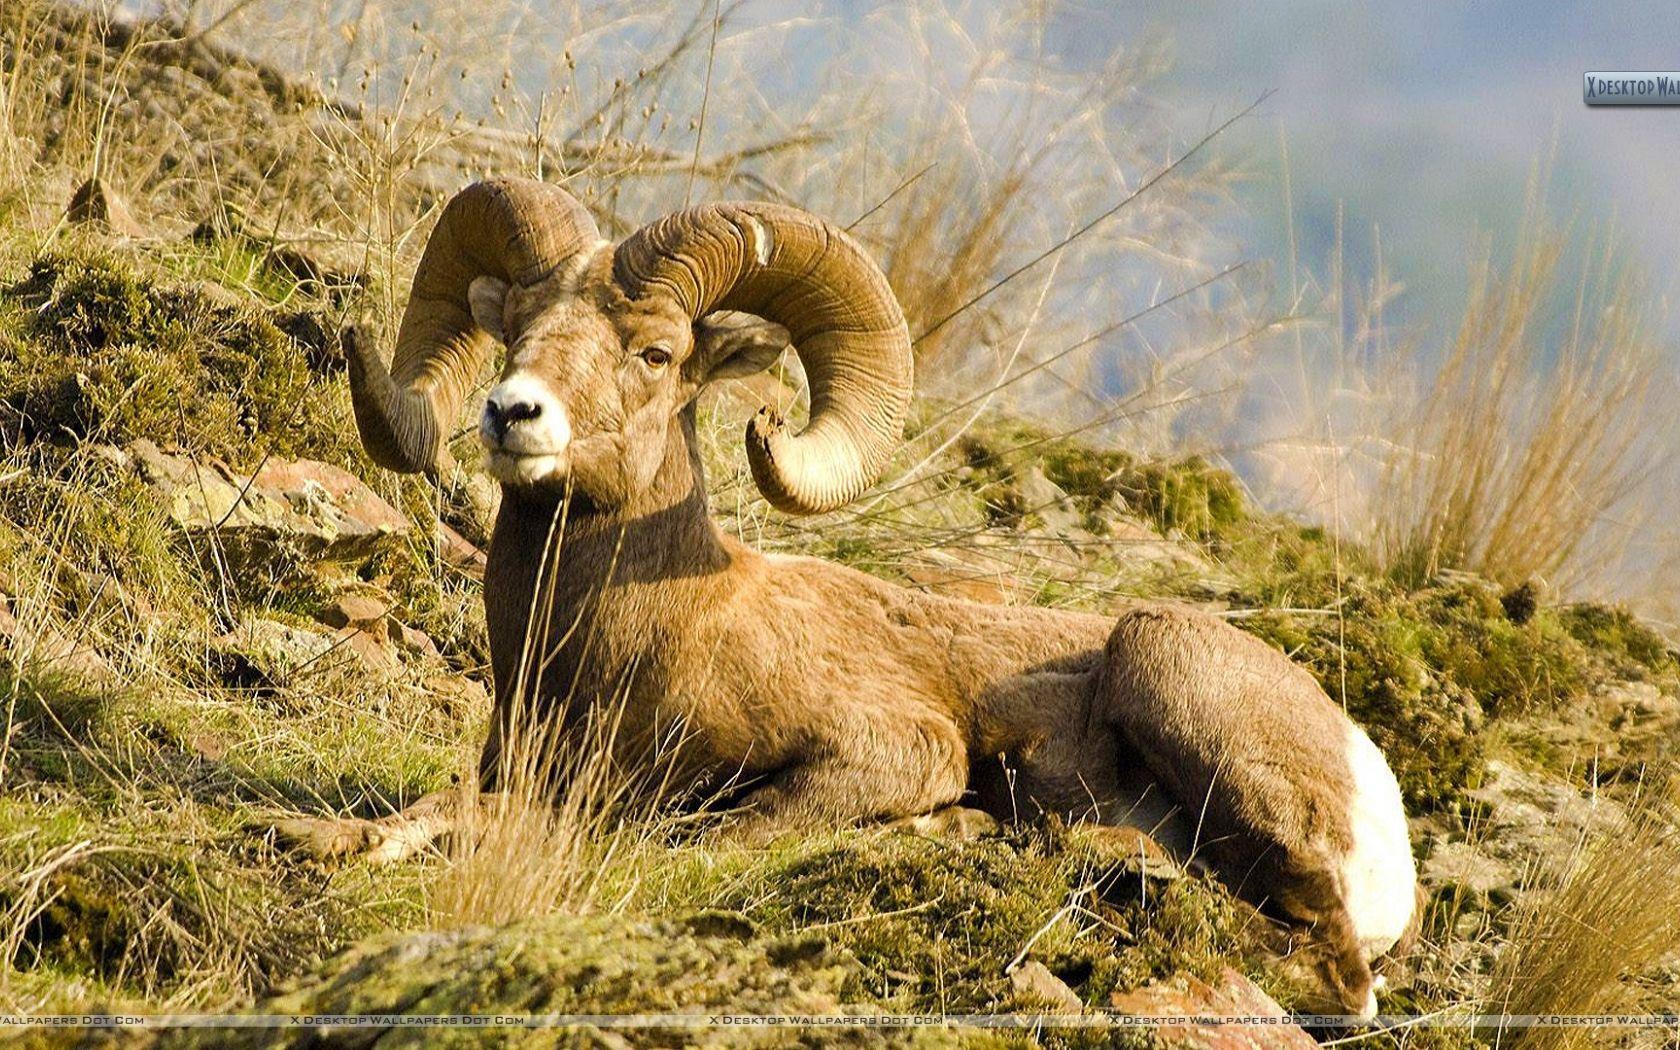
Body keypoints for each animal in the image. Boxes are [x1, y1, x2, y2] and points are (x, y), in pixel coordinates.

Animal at [276, 178, 1418, 1017]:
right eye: (512, 328)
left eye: (654, 352)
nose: (513, 412)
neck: (637, 643)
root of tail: (1372, 781)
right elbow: (434, 811)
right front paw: (326, 841)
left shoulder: (889, 752)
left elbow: (686, 837)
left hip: (1163, 665)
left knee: (1338, 970)